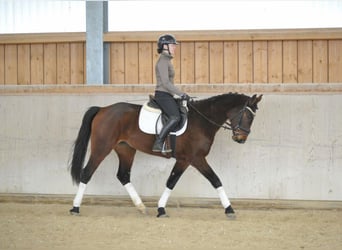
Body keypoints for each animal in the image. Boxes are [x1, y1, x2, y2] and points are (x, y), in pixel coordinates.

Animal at [69, 92, 262, 219]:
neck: (201, 121)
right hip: (102, 148)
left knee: (123, 175)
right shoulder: (192, 158)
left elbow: (201, 181)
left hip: (126, 150)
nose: (241, 139)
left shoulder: (190, 160)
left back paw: (141, 207)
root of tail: (103, 109)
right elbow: (198, 180)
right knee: (86, 173)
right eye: (247, 116)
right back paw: (75, 208)